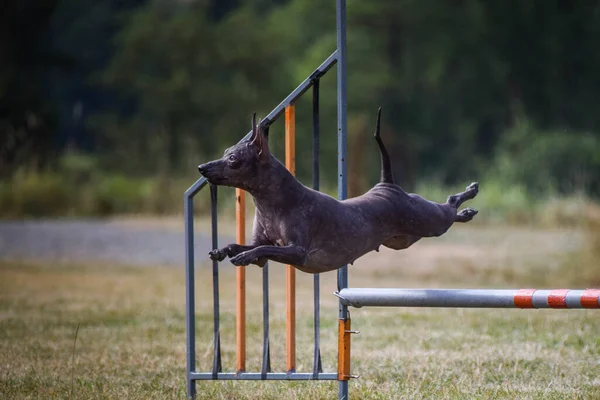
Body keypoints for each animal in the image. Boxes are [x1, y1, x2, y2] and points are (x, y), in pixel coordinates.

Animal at [199, 108, 480, 274]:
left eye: (233, 158)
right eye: (225, 152)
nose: (202, 167)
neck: (271, 204)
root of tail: (386, 185)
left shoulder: (297, 252)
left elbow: (261, 250)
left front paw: (242, 257)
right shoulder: (264, 253)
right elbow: (244, 246)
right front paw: (222, 251)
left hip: (428, 221)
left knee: (449, 206)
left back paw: (468, 199)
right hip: (404, 239)